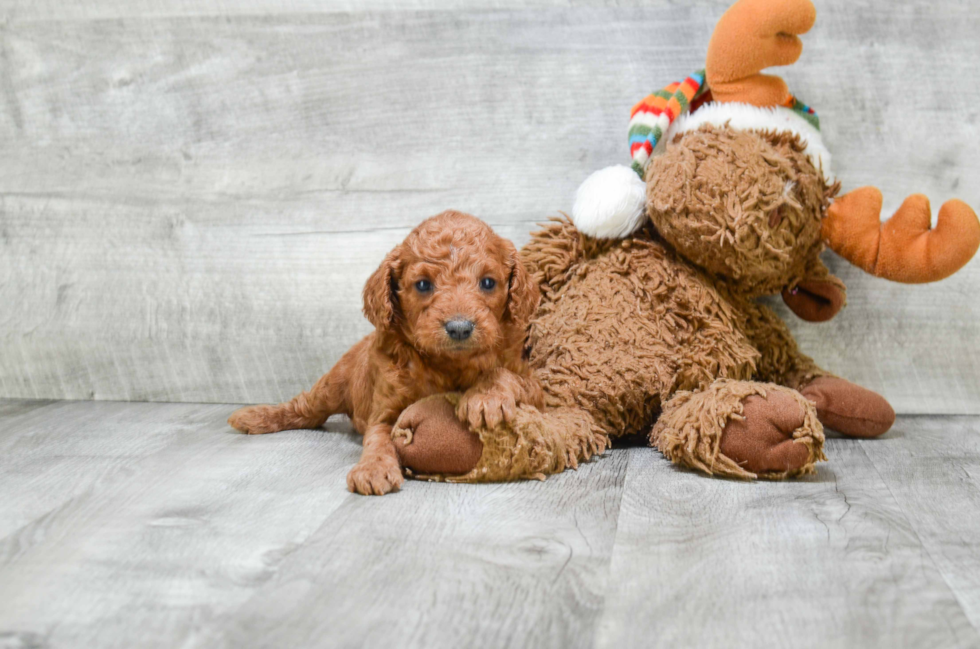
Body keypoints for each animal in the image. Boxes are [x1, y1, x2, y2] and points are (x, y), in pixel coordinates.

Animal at [226, 210, 540, 494]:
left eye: (488, 282)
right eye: (423, 284)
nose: (460, 328)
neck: (449, 363)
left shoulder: (536, 385)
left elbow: (507, 375)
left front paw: (484, 398)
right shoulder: (384, 411)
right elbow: (379, 438)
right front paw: (374, 469)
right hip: (332, 386)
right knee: (305, 409)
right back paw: (254, 417)